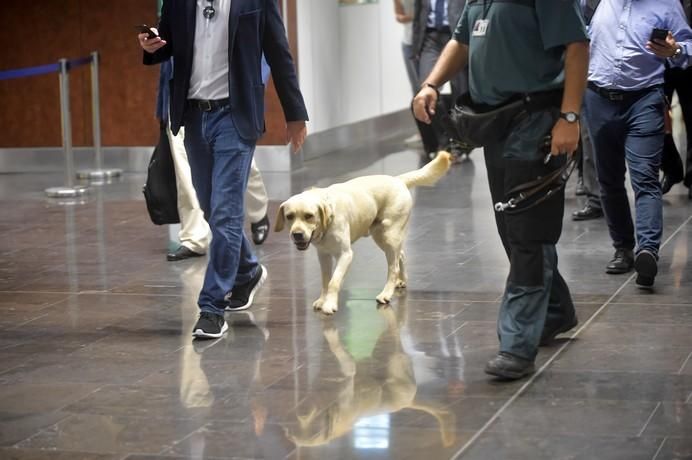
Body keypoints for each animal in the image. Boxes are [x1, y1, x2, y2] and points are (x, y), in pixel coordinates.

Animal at [276, 153, 454, 314]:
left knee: (393, 267)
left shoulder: (345, 255)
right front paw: (322, 300)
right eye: (289, 216)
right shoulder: (323, 255)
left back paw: (386, 294)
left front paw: (329, 304)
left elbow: (334, 281)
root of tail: (398, 180)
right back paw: (402, 280)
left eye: (309, 216)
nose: (297, 234)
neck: (327, 221)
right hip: (381, 236)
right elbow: (326, 280)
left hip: (389, 235)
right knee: (401, 255)